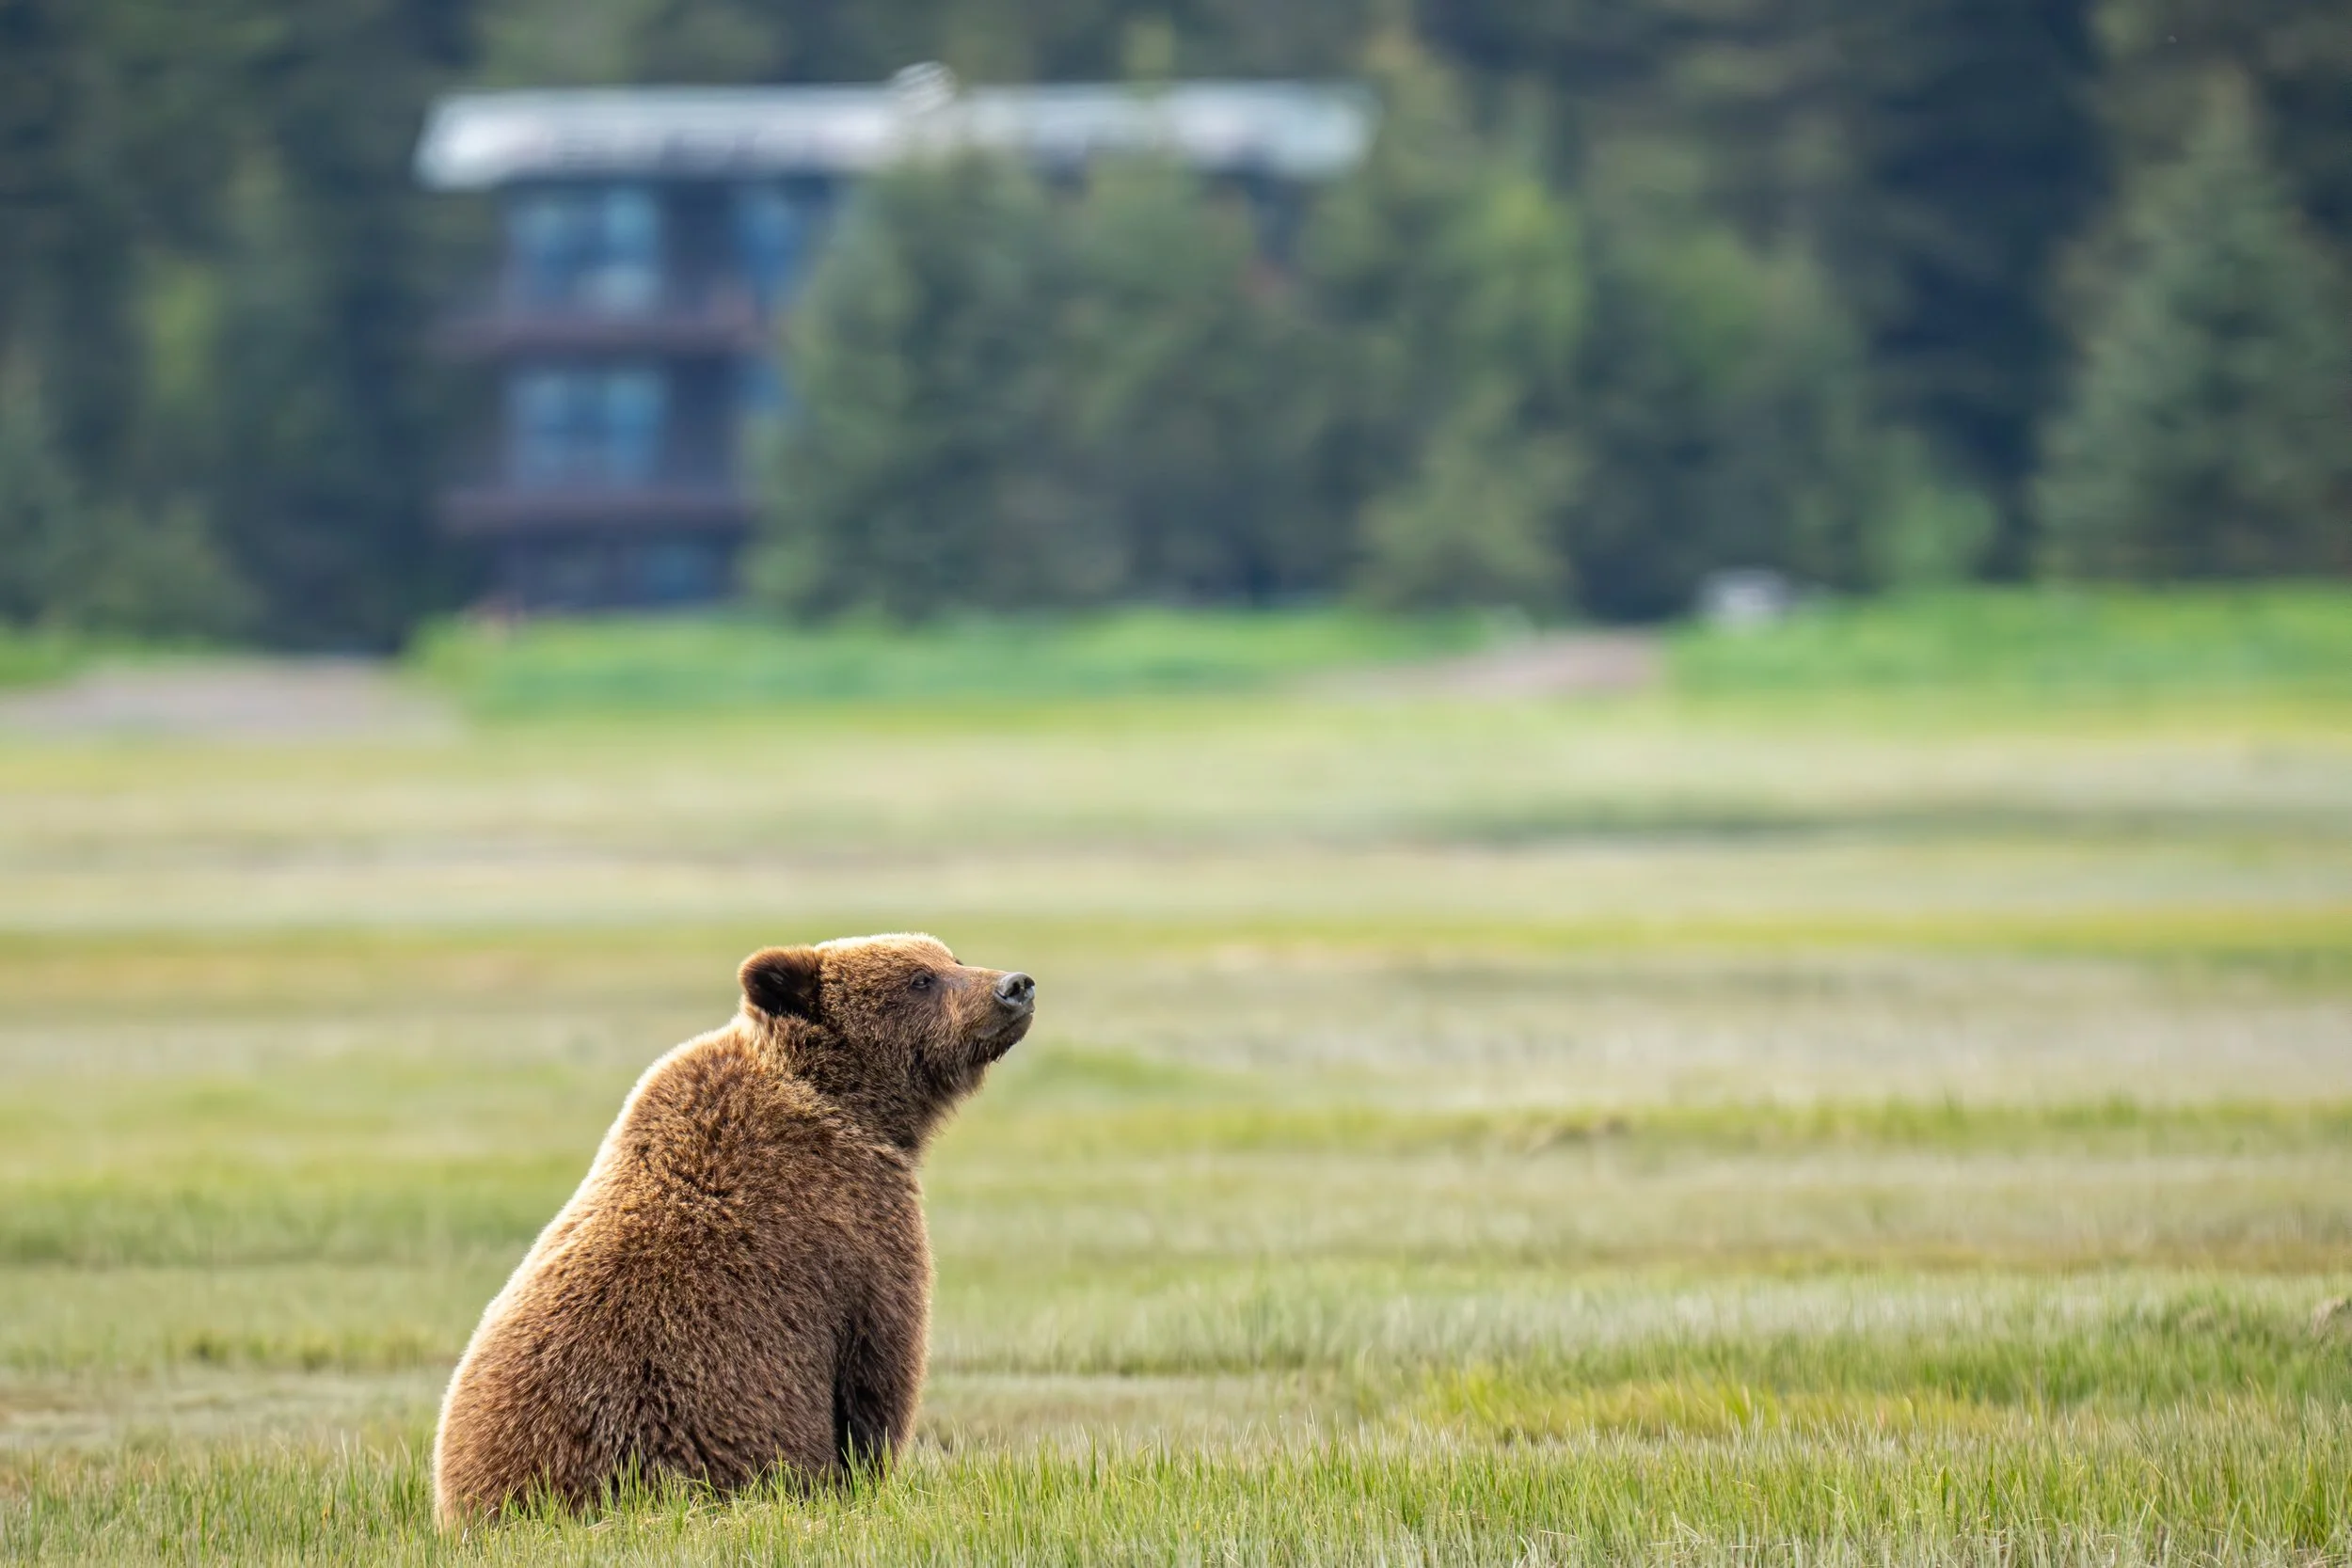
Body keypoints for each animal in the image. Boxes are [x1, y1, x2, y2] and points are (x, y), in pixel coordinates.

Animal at [431, 933, 1034, 1525]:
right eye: (920, 979)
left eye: (951, 957)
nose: (1015, 985)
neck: (852, 1103)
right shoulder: (858, 1229)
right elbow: (878, 1371)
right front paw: (869, 1480)